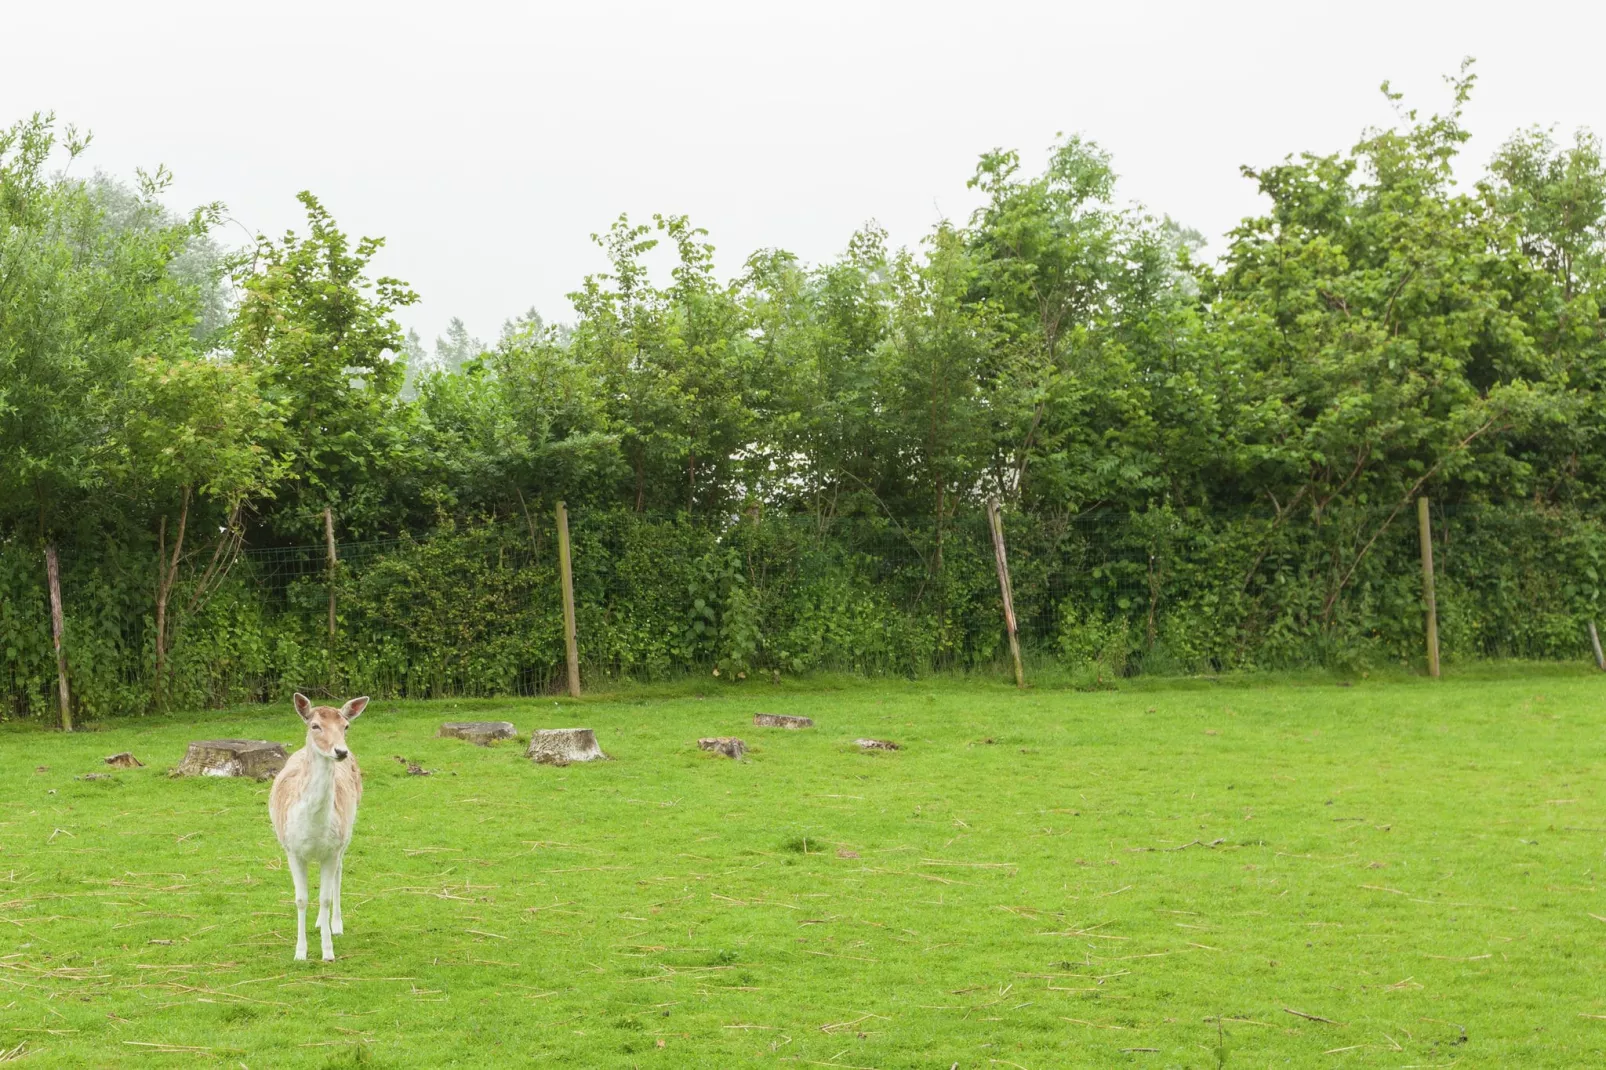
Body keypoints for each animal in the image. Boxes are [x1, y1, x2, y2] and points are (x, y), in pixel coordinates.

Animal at [269, 690, 369, 957]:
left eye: (346, 726)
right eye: (315, 725)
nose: (341, 751)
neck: (313, 827)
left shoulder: (332, 849)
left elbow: (324, 898)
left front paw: (328, 952)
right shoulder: (291, 849)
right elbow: (301, 899)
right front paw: (300, 953)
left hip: (347, 833)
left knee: (338, 875)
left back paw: (334, 924)